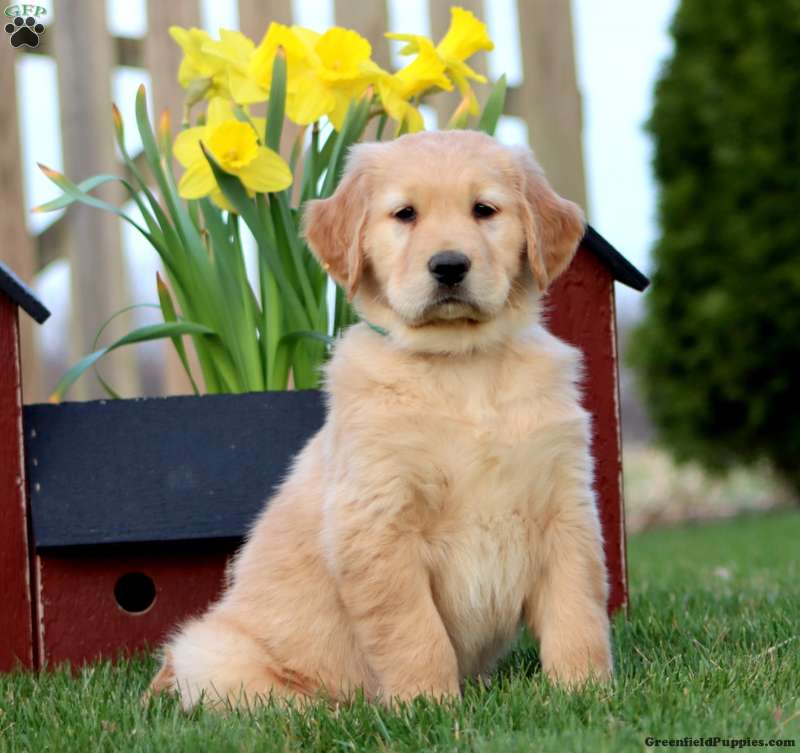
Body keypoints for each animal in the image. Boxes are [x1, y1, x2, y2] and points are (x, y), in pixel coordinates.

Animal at [148, 130, 613, 709]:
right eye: (405, 214)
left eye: (484, 210)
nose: (449, 266)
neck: (461, 366)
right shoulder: (379, 522)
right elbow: (414, 630)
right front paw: (427, 704)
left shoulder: (565, 508)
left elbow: (578, 610)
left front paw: (584, 692)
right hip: (213, 652)